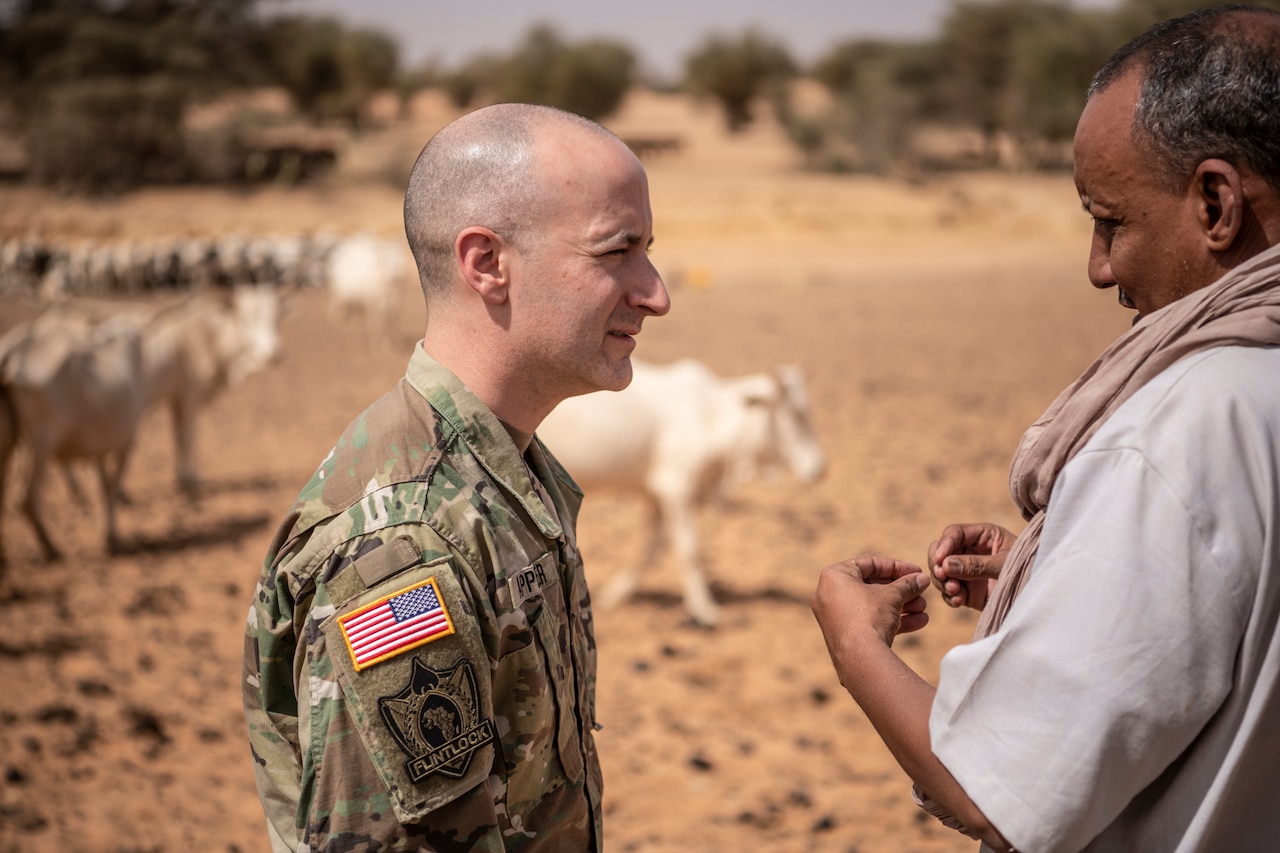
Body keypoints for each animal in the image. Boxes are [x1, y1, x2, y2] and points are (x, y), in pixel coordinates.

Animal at [537, 356, 819, 622]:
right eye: (795, 414)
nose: (819, 467)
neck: (712, 417)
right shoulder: (677, 491)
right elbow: (689, 550)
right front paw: (703, 608)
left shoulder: (658, 497)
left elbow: (651, 548)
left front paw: (615, 594)